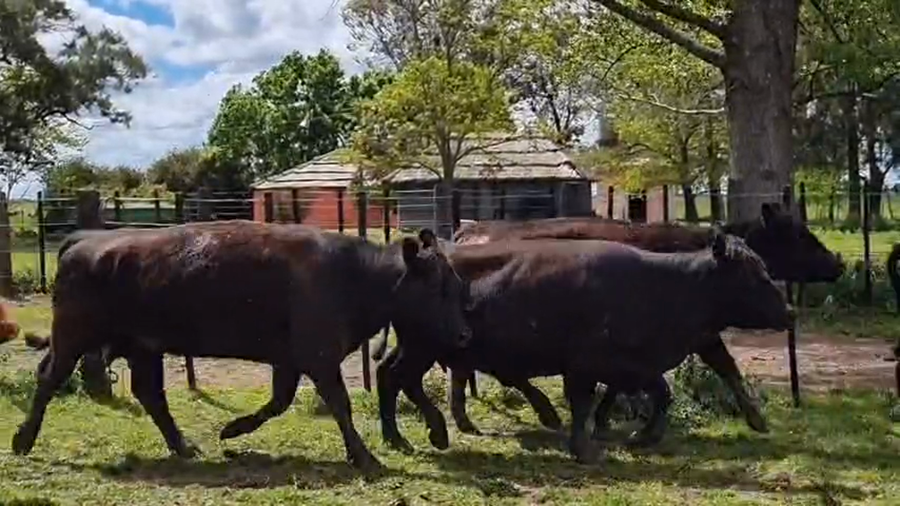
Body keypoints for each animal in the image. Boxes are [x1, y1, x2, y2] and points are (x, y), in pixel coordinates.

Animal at [10, 220, 470, 474]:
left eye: (454, 281)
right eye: (439, 285)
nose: (465, 334)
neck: (356, 274)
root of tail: (83, 242)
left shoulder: (291, 361)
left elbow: (278, 402)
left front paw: (231, 430)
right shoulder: (319, 358)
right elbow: (340, 405)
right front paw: (366, 458)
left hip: (144, 347)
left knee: (150, 394)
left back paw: (184, 447)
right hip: (74, 338)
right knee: (49, 377)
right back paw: (22, 441)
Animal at [371, 203, 842, 444]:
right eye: (800, 234)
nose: (837, 263)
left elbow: (714, 368)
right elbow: (714, 368)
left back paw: (470, 421)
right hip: (427, 345)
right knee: (415, 375)